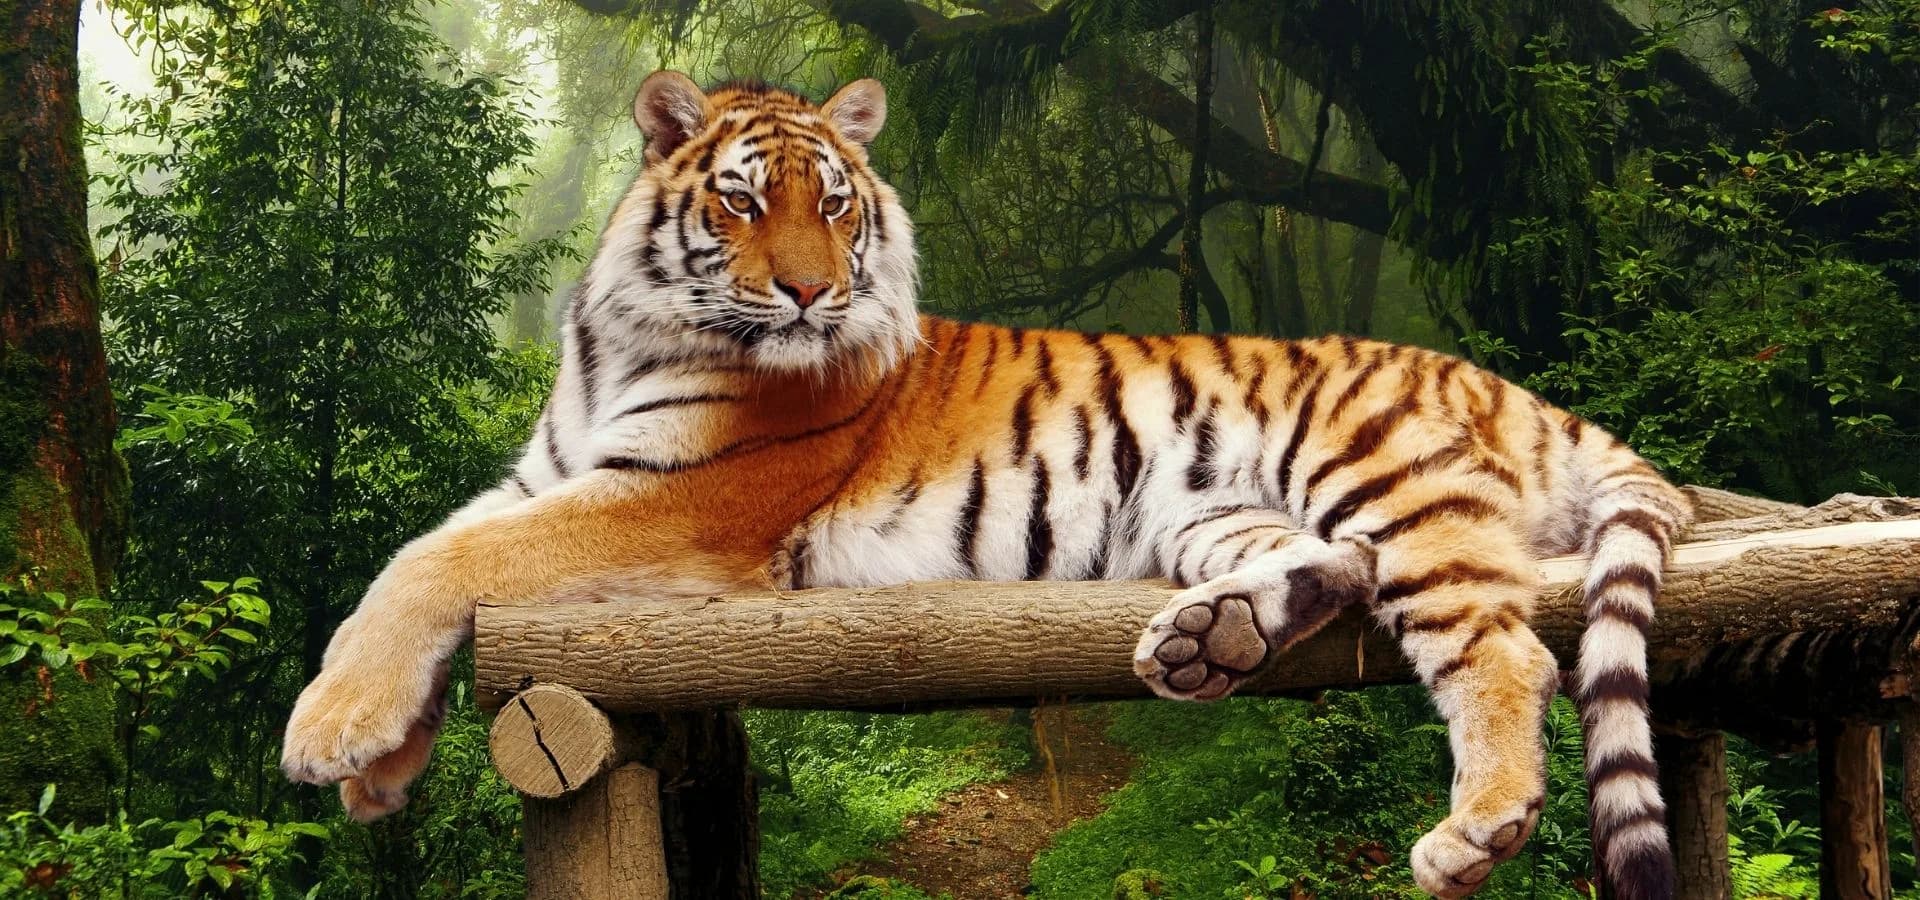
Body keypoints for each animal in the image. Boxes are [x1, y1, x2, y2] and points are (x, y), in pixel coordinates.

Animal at [280, 71, 1690, 898]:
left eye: (834, 204)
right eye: (742, 202)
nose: (810, 294)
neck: (621, 337)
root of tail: (1509, 383)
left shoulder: (686, 502)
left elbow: (442, 560)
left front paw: (328, 733)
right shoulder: (549, 472)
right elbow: (427, 551)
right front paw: (379, 768)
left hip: (1380, 473)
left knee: (1505, 648)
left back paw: (1478, 829)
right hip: (1213, 509)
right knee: (1332, 568)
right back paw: (1210, 641)